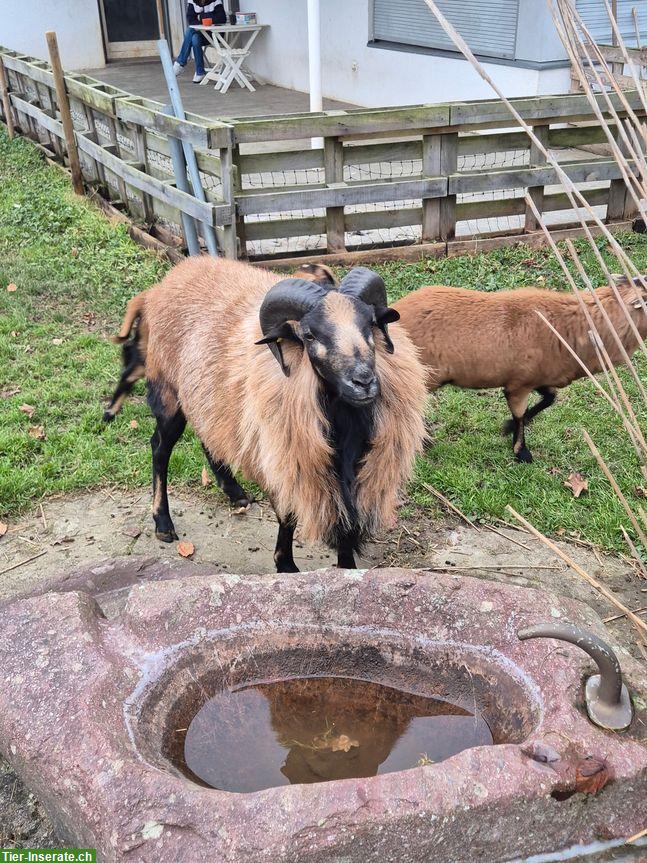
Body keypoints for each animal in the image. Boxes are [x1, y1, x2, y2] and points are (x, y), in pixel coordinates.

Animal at [104, 258, 428, 568]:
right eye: (309, 335)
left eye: (370, 324)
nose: (363, 381)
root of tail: (163, 284)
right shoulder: (284, 457)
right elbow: (288, 516)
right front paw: (285, 565)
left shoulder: (355, 469)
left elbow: (346, 521)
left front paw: (347, 567)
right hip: (169, 393)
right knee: (160, 448)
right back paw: (163, 522)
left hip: (208, 397)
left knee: (209, 437)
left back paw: (234, 492)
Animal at [394, 278, 647, 466]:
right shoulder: (518, 384)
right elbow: (520, 414)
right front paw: (521, 451)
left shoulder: (538, 378)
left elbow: (549, 399)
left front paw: (507, 429)